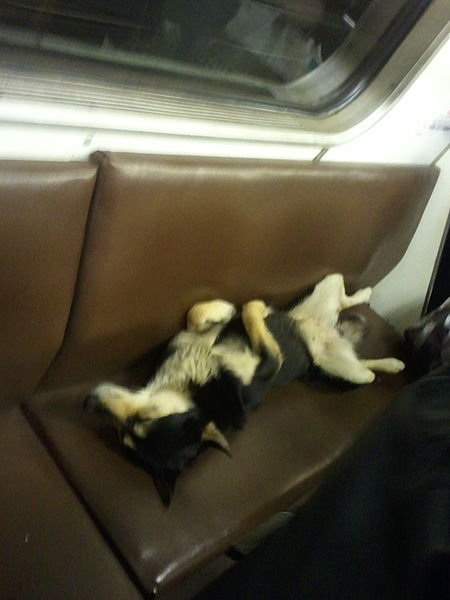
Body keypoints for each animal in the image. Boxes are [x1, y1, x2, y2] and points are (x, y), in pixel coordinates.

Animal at [83, 274, 404, 504]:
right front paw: (243, 309)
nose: (87, 403)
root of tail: (328, 335)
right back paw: (391, 363)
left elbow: (203, 312)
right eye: (122, 437)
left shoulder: (213, 343)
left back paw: (367, 304)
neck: (199, 392)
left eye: (146, 417)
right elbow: (227, 316)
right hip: (346, 369)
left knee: (343, 298)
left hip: (326, 291)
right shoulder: (251, 358)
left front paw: (232, 309)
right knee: (366, 367)